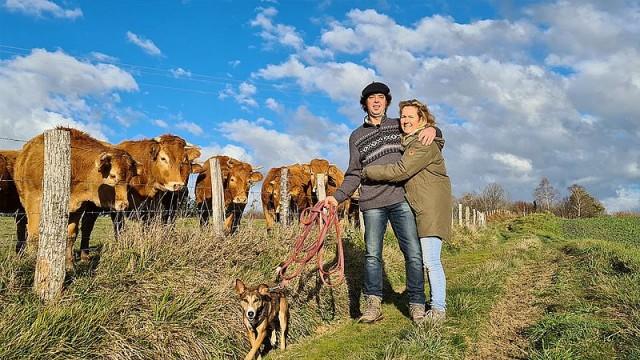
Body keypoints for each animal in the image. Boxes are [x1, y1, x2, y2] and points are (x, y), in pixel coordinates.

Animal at [13, 128, 141, 268]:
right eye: (112, 176)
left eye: (130, 178)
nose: (124, 205)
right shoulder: (34, 203)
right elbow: (35, 236)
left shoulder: (78, 208)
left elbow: (71, 235)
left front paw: (69, 264)